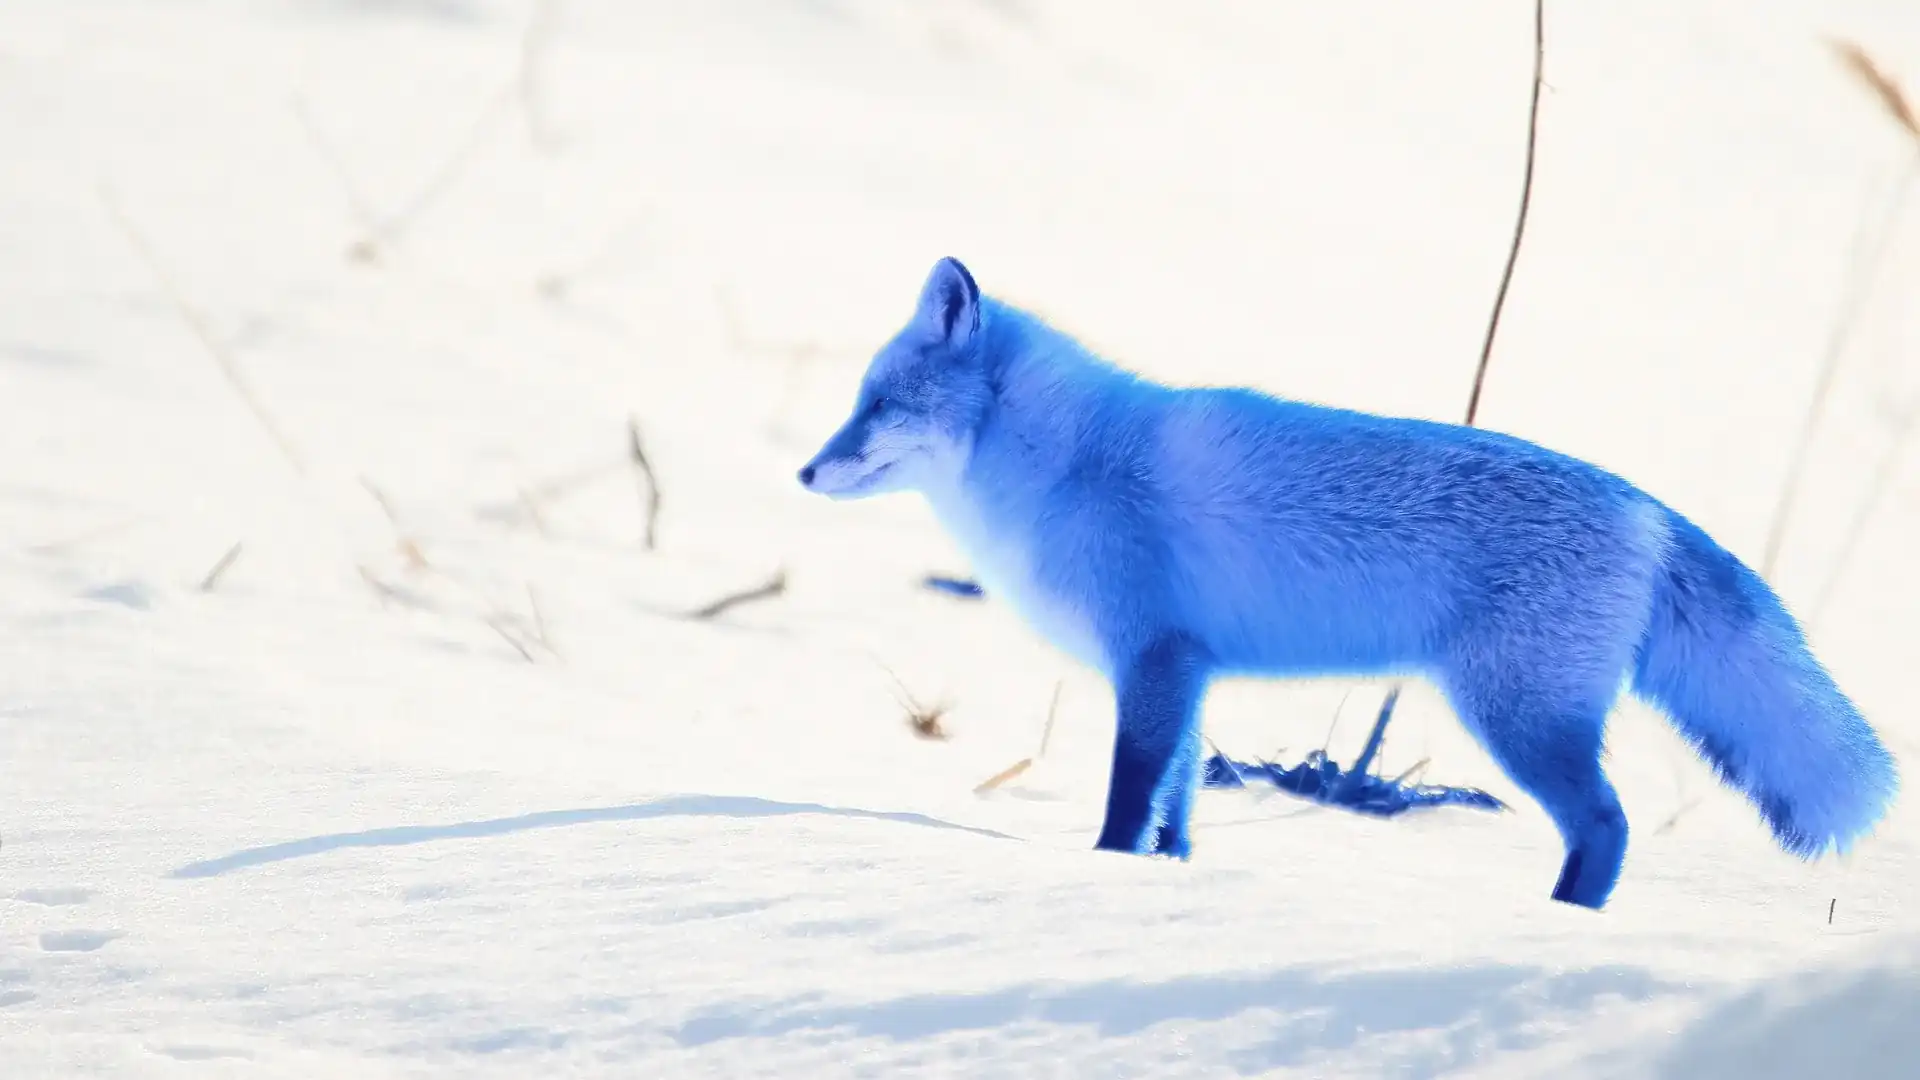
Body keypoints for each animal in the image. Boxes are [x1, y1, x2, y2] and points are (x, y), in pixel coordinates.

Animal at [797, 256, 1899, 910]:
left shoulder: (1151, 659)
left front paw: (1100, 875)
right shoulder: (1189, 669)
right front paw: (1169, 886)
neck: (1066, 463)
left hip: (1517, 717)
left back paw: (1561, 923)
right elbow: (1180, 804)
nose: (804, 473)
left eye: (878, 405)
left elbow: (1130, 797)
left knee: (1609, 827)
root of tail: (1649, 510)